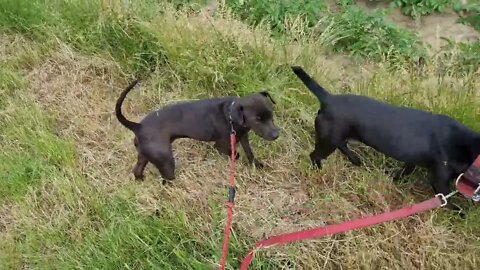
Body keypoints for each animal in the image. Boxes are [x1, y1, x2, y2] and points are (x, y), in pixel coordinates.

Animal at [116, 79, 280, 181]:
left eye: (271, 114)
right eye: (257, 119)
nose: (276, 135)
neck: (231, 114)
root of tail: (138, 126)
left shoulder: (243, 135)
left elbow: (249, 152)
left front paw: (256, 165)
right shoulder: (221, 146)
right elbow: (235, 153)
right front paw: (238, 160)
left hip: (145, 155)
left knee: (137, 170)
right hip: (166, 160)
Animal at [290, 66, 480, 211]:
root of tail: (328, 98)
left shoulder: (412, 161)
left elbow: (403, 172)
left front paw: (395, 179)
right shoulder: (439, 180)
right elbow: (450, 203)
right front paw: (461, 213)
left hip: (336, 137)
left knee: (342, 145)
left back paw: (355, 160)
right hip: (327, 141)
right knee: (315, 155)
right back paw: (318, 171)